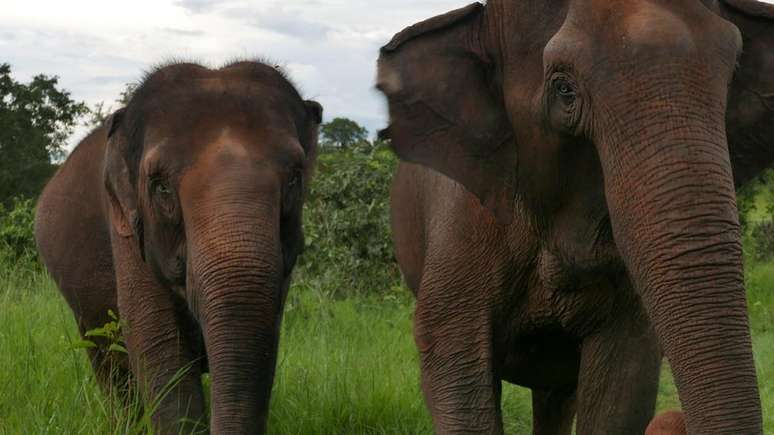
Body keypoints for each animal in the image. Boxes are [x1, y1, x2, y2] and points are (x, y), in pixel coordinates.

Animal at [35, 59, 322, 434]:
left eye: (294, 178)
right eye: (160, 187)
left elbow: (264, 334)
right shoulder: (128, 230)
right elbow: (157, 339)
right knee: (111, 366)